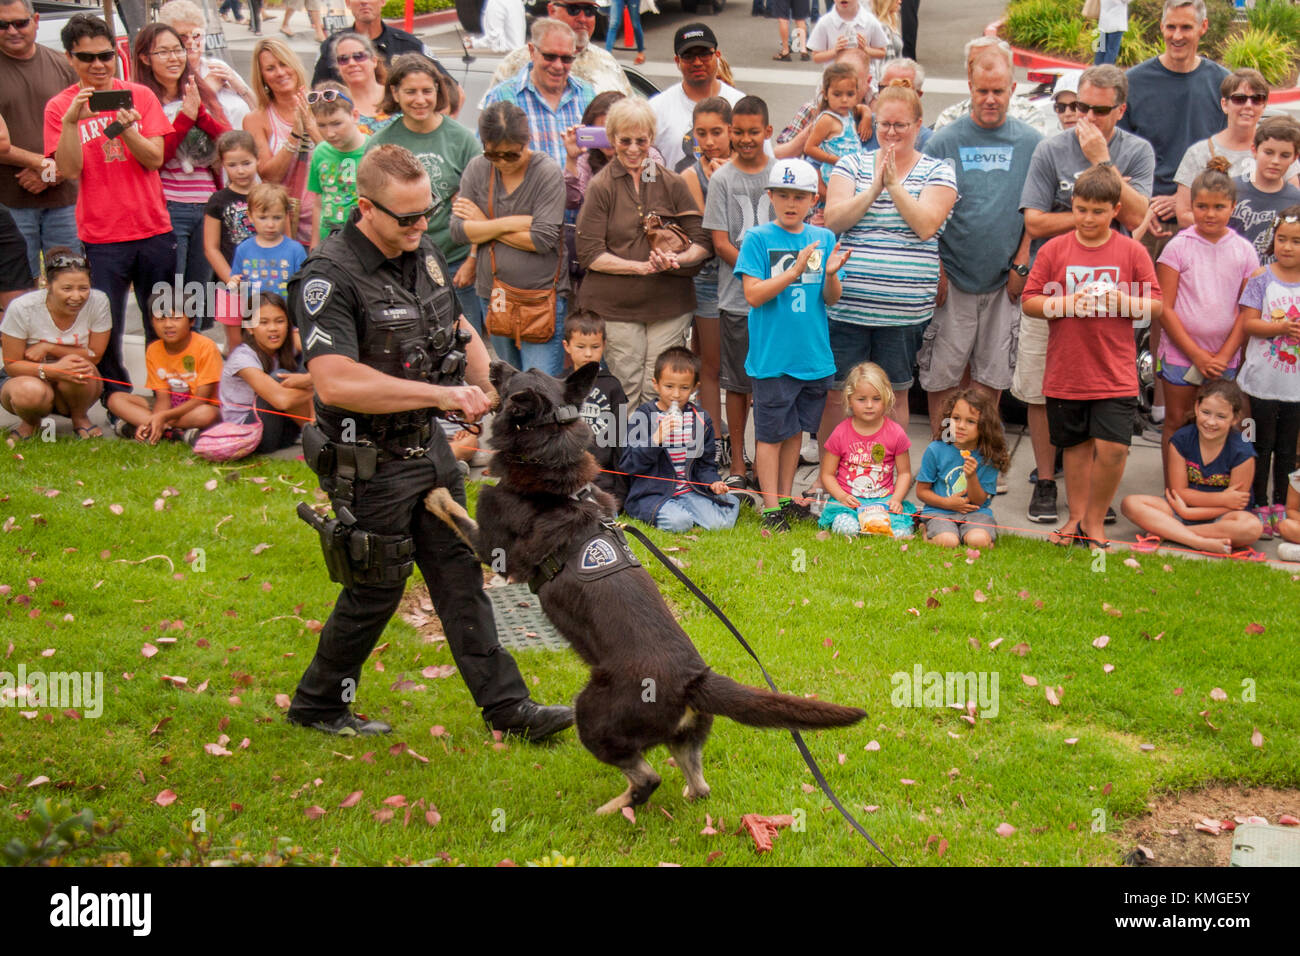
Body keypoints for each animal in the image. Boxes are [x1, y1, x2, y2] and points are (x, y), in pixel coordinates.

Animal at [423, 358, 863, 816]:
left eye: (511, 379)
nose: (491, 362)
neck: (557, 478)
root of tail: (692, 680)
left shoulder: (492, 548)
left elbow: (456, 513)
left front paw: (436, 493)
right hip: (684, 735)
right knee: (697, 783)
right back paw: (678, 795)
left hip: (590, 712)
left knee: (646, 778)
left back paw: (611, 810)